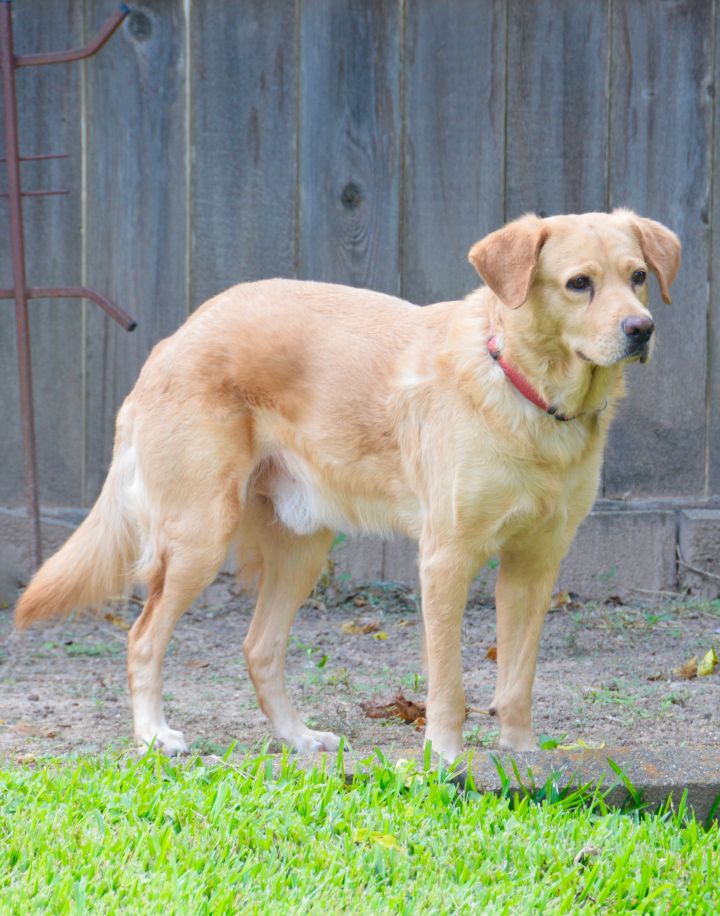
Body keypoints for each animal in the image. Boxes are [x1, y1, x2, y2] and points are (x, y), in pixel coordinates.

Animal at [15, 213, 680, 760]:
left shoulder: (535, 564)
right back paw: (155, 735)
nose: (642, 329)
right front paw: (446, 758)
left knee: (259, 649)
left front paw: (522, 760)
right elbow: (448, 684)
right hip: (199, 540)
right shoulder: (446, 559)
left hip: (302, 549)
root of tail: (173, 339)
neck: (528, 391)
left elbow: (516, 681)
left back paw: (299, 738)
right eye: (578, 283)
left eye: (638, 276)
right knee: (142, 640)